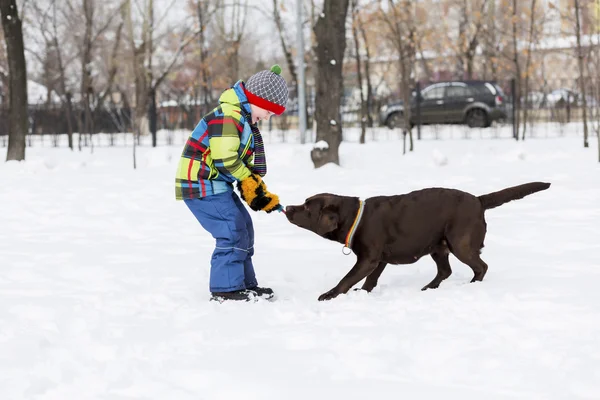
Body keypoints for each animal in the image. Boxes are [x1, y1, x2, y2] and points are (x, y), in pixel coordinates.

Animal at [284, 181, 552, 300]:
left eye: (307, 208)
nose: (287, 207)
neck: (355, 217)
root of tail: (478, 200)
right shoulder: (378, 259)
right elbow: (370, 280)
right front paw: (365, 293)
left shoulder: (368, 258)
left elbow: (346, 279)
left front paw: (329, 295)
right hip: (438, 245)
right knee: (445, 270)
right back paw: (428, 288)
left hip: (460, 242)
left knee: (481, 266)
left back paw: (471, 285)